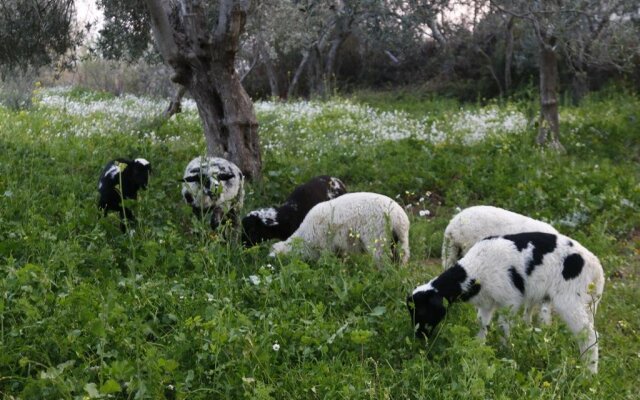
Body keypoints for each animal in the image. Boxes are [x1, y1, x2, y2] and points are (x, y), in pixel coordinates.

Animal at [268, 193, 410, 266]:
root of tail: (399, 218)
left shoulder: (325, 243)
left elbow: (326, 258)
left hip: (378, 235)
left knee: (384, 259)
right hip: (394, 238)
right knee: (400, 257)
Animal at [408, 233, 604, 374]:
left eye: (424, 311)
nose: (418, 337)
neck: (473, 271)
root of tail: (596, 267)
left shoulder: (510, 300)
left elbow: (503, 327)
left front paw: (504, 352)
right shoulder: (487, 303)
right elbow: (482, 324)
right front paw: (478, 347)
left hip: (570, 300)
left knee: (589, 335)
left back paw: (589, 373)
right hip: (587, 303)